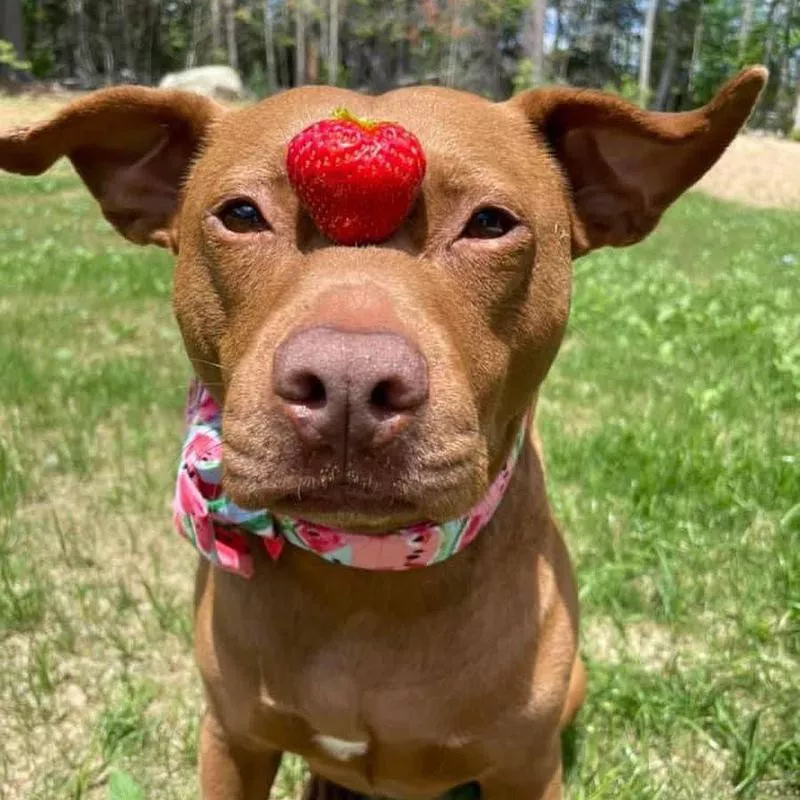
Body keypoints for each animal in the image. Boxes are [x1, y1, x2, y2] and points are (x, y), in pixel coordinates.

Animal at [0, 70, 764, 800]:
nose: (347, 384)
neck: (366, 575)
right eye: (241, 214)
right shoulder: (232, 740)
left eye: (491, 223)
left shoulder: (525, 768)